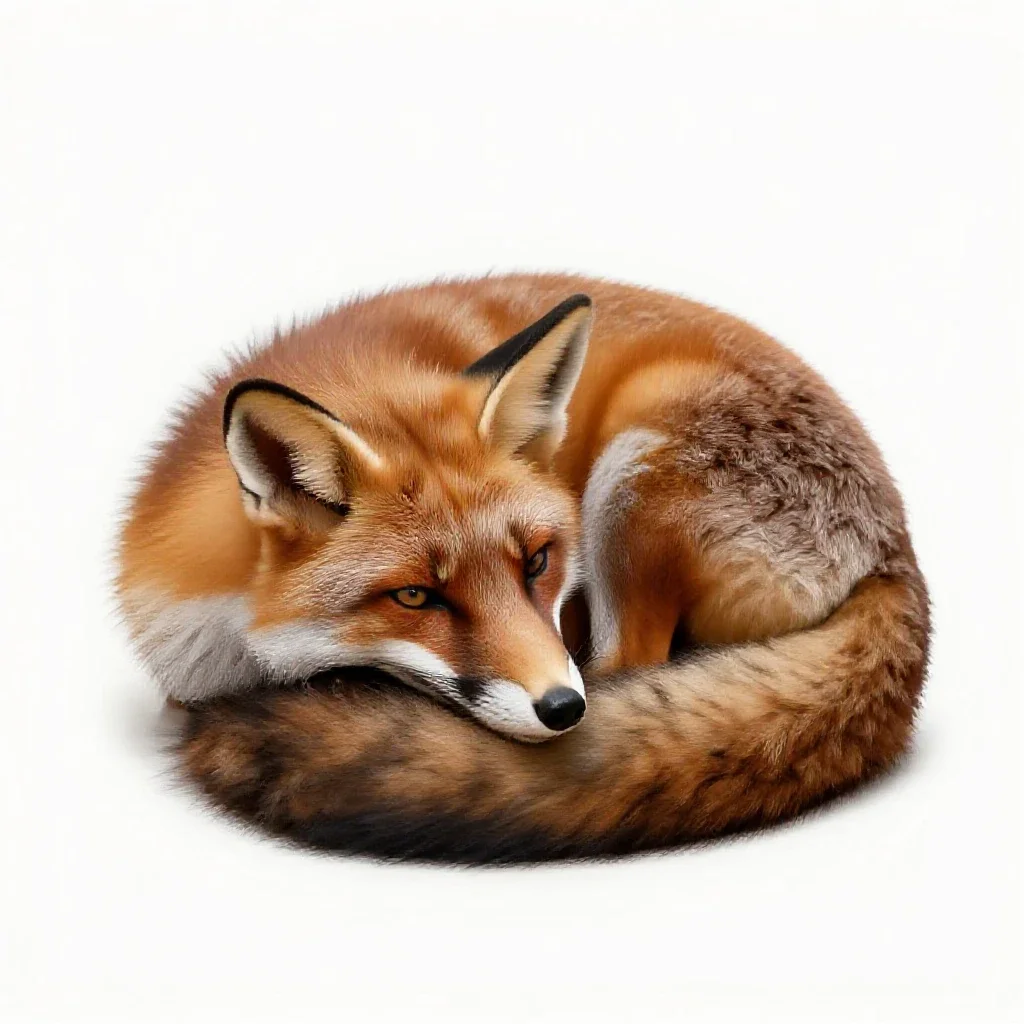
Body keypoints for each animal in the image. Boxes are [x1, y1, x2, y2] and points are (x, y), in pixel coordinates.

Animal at [117, 273, 929, 862]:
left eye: (538, 560)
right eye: (415, 596)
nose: (563, 711)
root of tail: (895, 545)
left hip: (636, 468)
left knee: (634, 662)